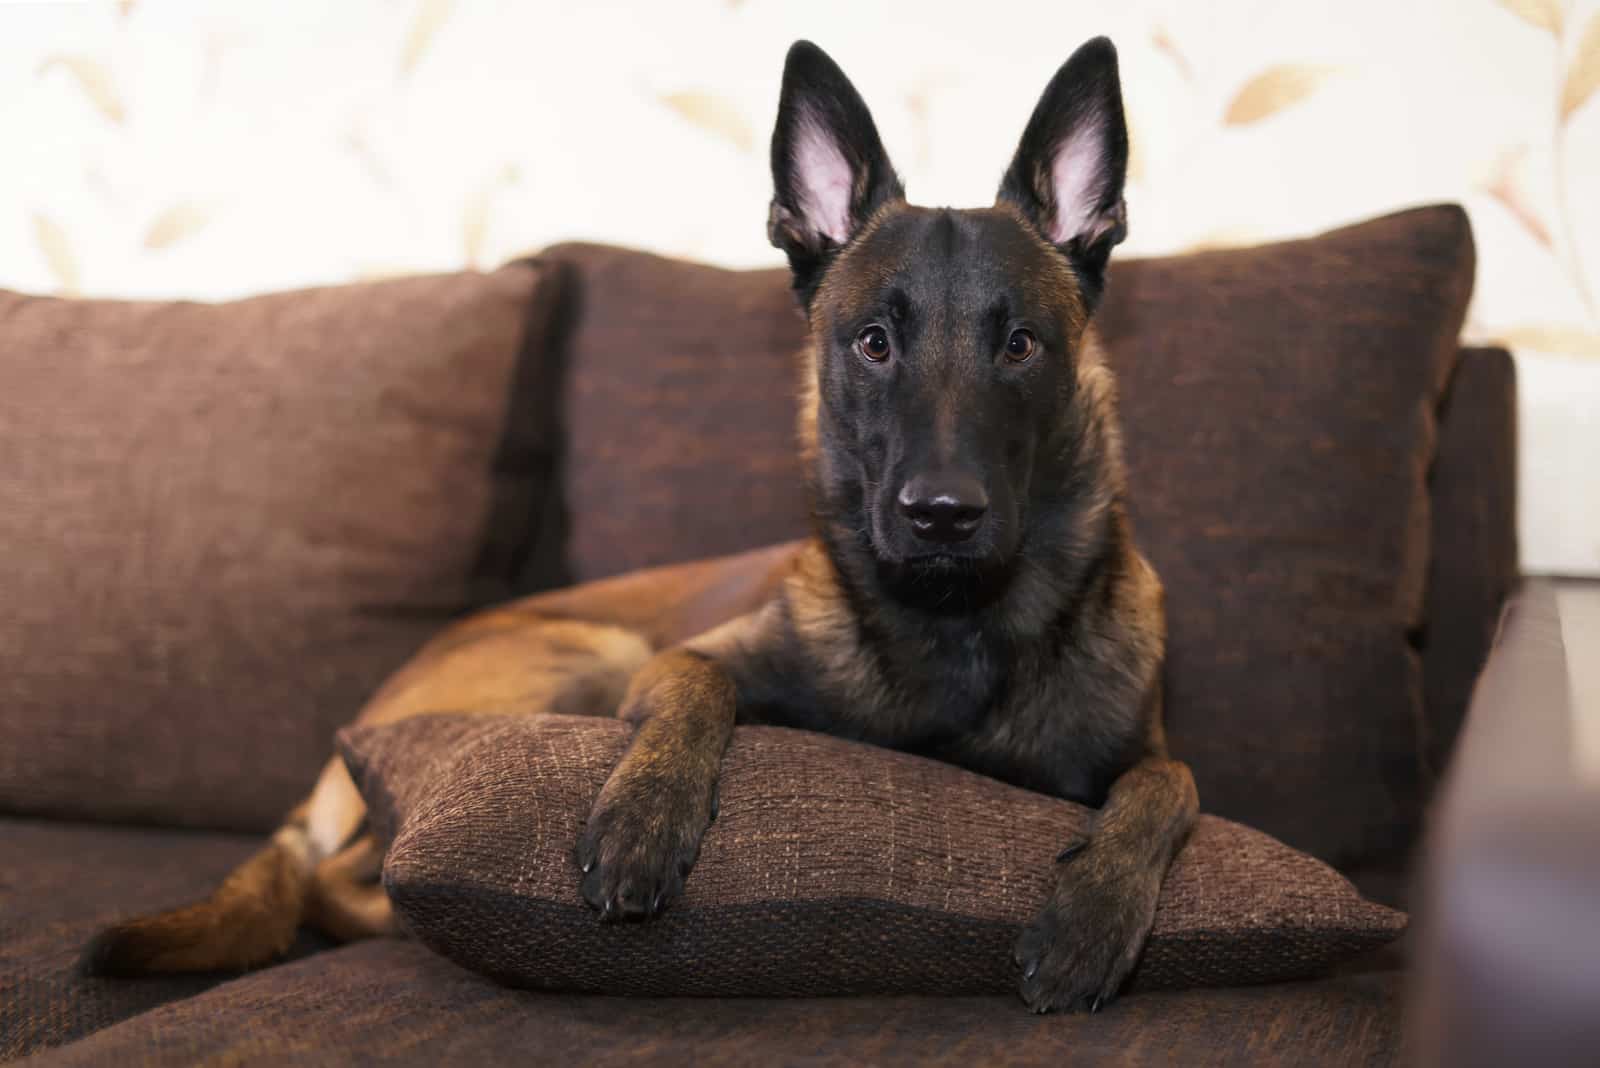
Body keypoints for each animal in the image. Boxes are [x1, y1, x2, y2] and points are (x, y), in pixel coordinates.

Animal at [81, 37, 1196, 1016]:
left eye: (1022, 346)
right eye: (874, 342)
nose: (941, 516)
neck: (953, 627)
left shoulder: (1141, 754)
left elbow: (1167, 787)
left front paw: (1092, 917)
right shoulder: (676, 662)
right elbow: (697, 692)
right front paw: (642, 819)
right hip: (595, 655)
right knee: (347, 878)